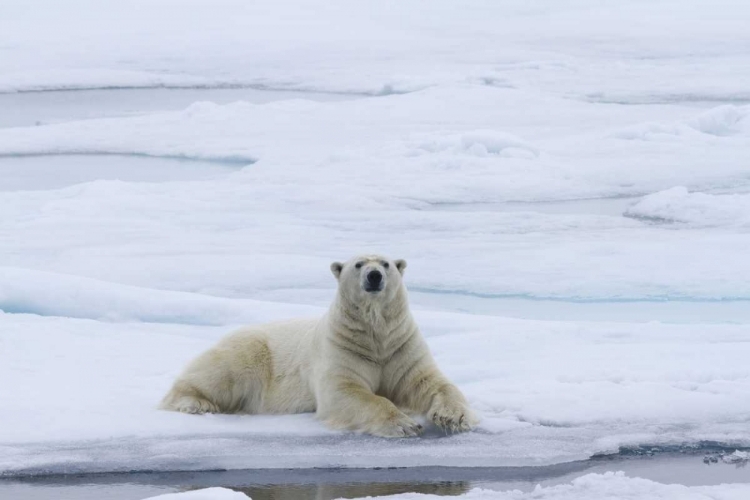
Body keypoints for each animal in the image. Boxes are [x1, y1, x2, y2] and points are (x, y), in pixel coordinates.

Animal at [161, 256, 478, 436]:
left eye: (386, 264)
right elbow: (346, 392)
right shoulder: (341, 348)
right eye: (358, 264)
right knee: (220, 372)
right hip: (251, 350)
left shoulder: (400, 346)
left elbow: (429, 382)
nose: (374, 275)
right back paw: (196, 403)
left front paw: (454, 418)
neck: (375, 334)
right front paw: (405, 424)